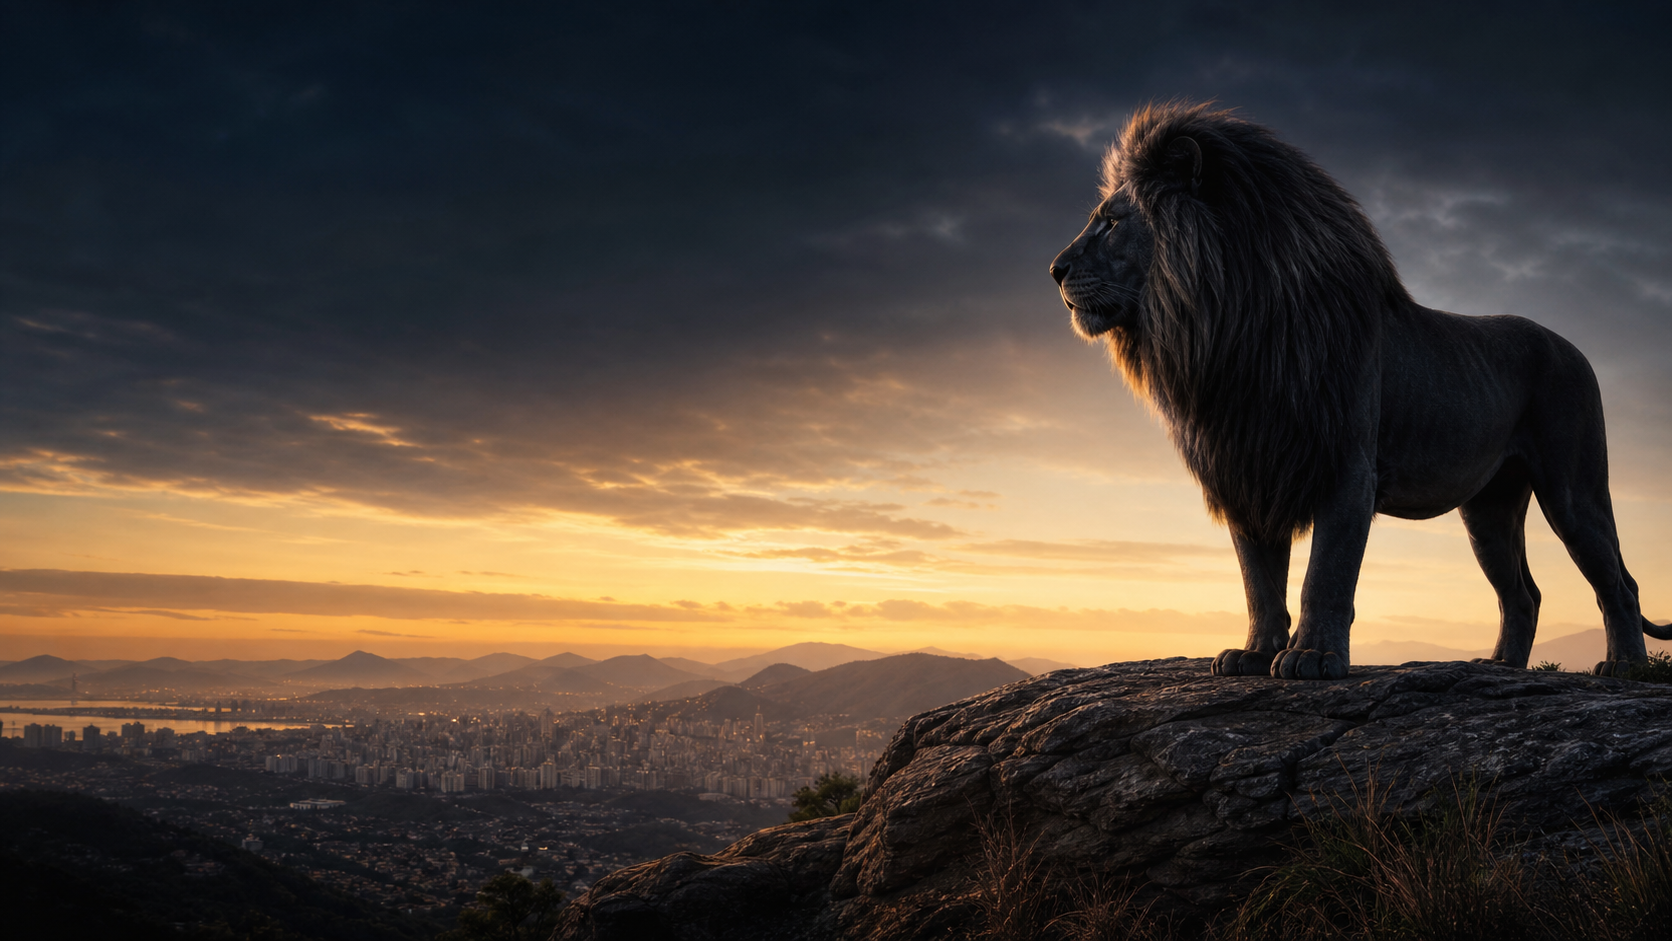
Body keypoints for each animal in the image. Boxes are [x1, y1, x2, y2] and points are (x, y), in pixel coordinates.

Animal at [1051, 101, 1671, 679]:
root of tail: (1573, 347)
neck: (1228, 326)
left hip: (1573, 488)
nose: (1055, 270)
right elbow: (1259, 579)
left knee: (1619, 584)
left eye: (1111, 223)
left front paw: (1312, 658)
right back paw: (1497, 667)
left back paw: (1625, 668)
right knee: (1524, 593)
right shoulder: (1247, 464)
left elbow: (1325, 574)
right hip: (1489, 510)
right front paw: (1253, 654)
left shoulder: (1346, 466)